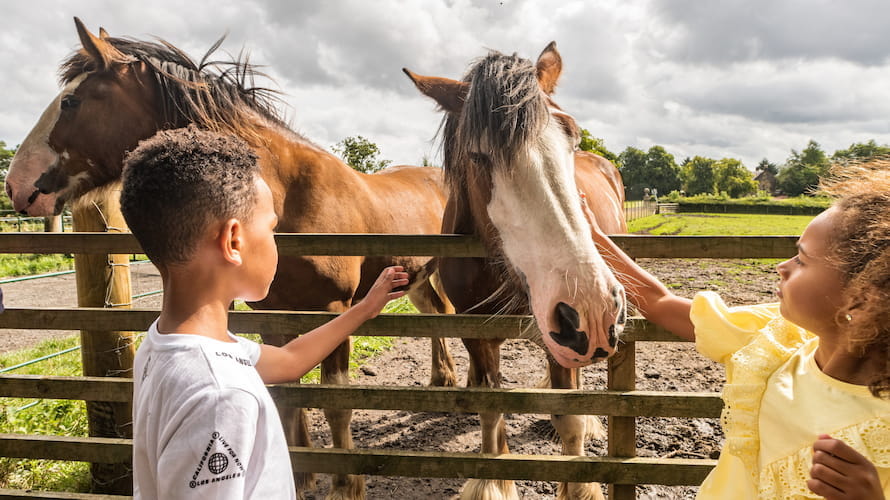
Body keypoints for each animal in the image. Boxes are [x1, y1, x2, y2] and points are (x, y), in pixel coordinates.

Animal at [4, 18, 457, 499]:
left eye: (71, 101)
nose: (16, 185)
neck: (289, 198)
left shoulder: (333, 308)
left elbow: (336, 402)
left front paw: (345, 486)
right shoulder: (274, 314)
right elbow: (289, 394)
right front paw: (301, 476)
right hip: (416, 278)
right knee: (435, 316)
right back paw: (443, 381)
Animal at [404, 42, 628, 500]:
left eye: (572, 137)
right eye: (477, 155)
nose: (592, 307)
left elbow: (570, 419)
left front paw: (579, 486)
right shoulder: (476, 333)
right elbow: (492, 411)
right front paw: (492, 483)